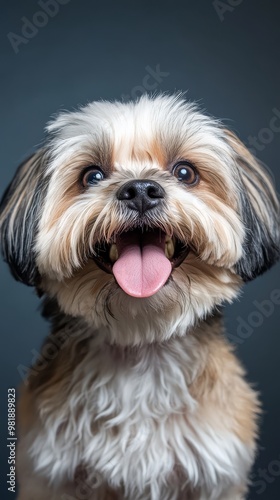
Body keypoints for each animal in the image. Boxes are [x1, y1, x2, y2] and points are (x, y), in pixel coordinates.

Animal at [0, 94, 280, 500]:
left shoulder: (215, 475)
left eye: (185, 173)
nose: (141, 190)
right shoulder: (49, 476)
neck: (140, 345)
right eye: (92, 176)